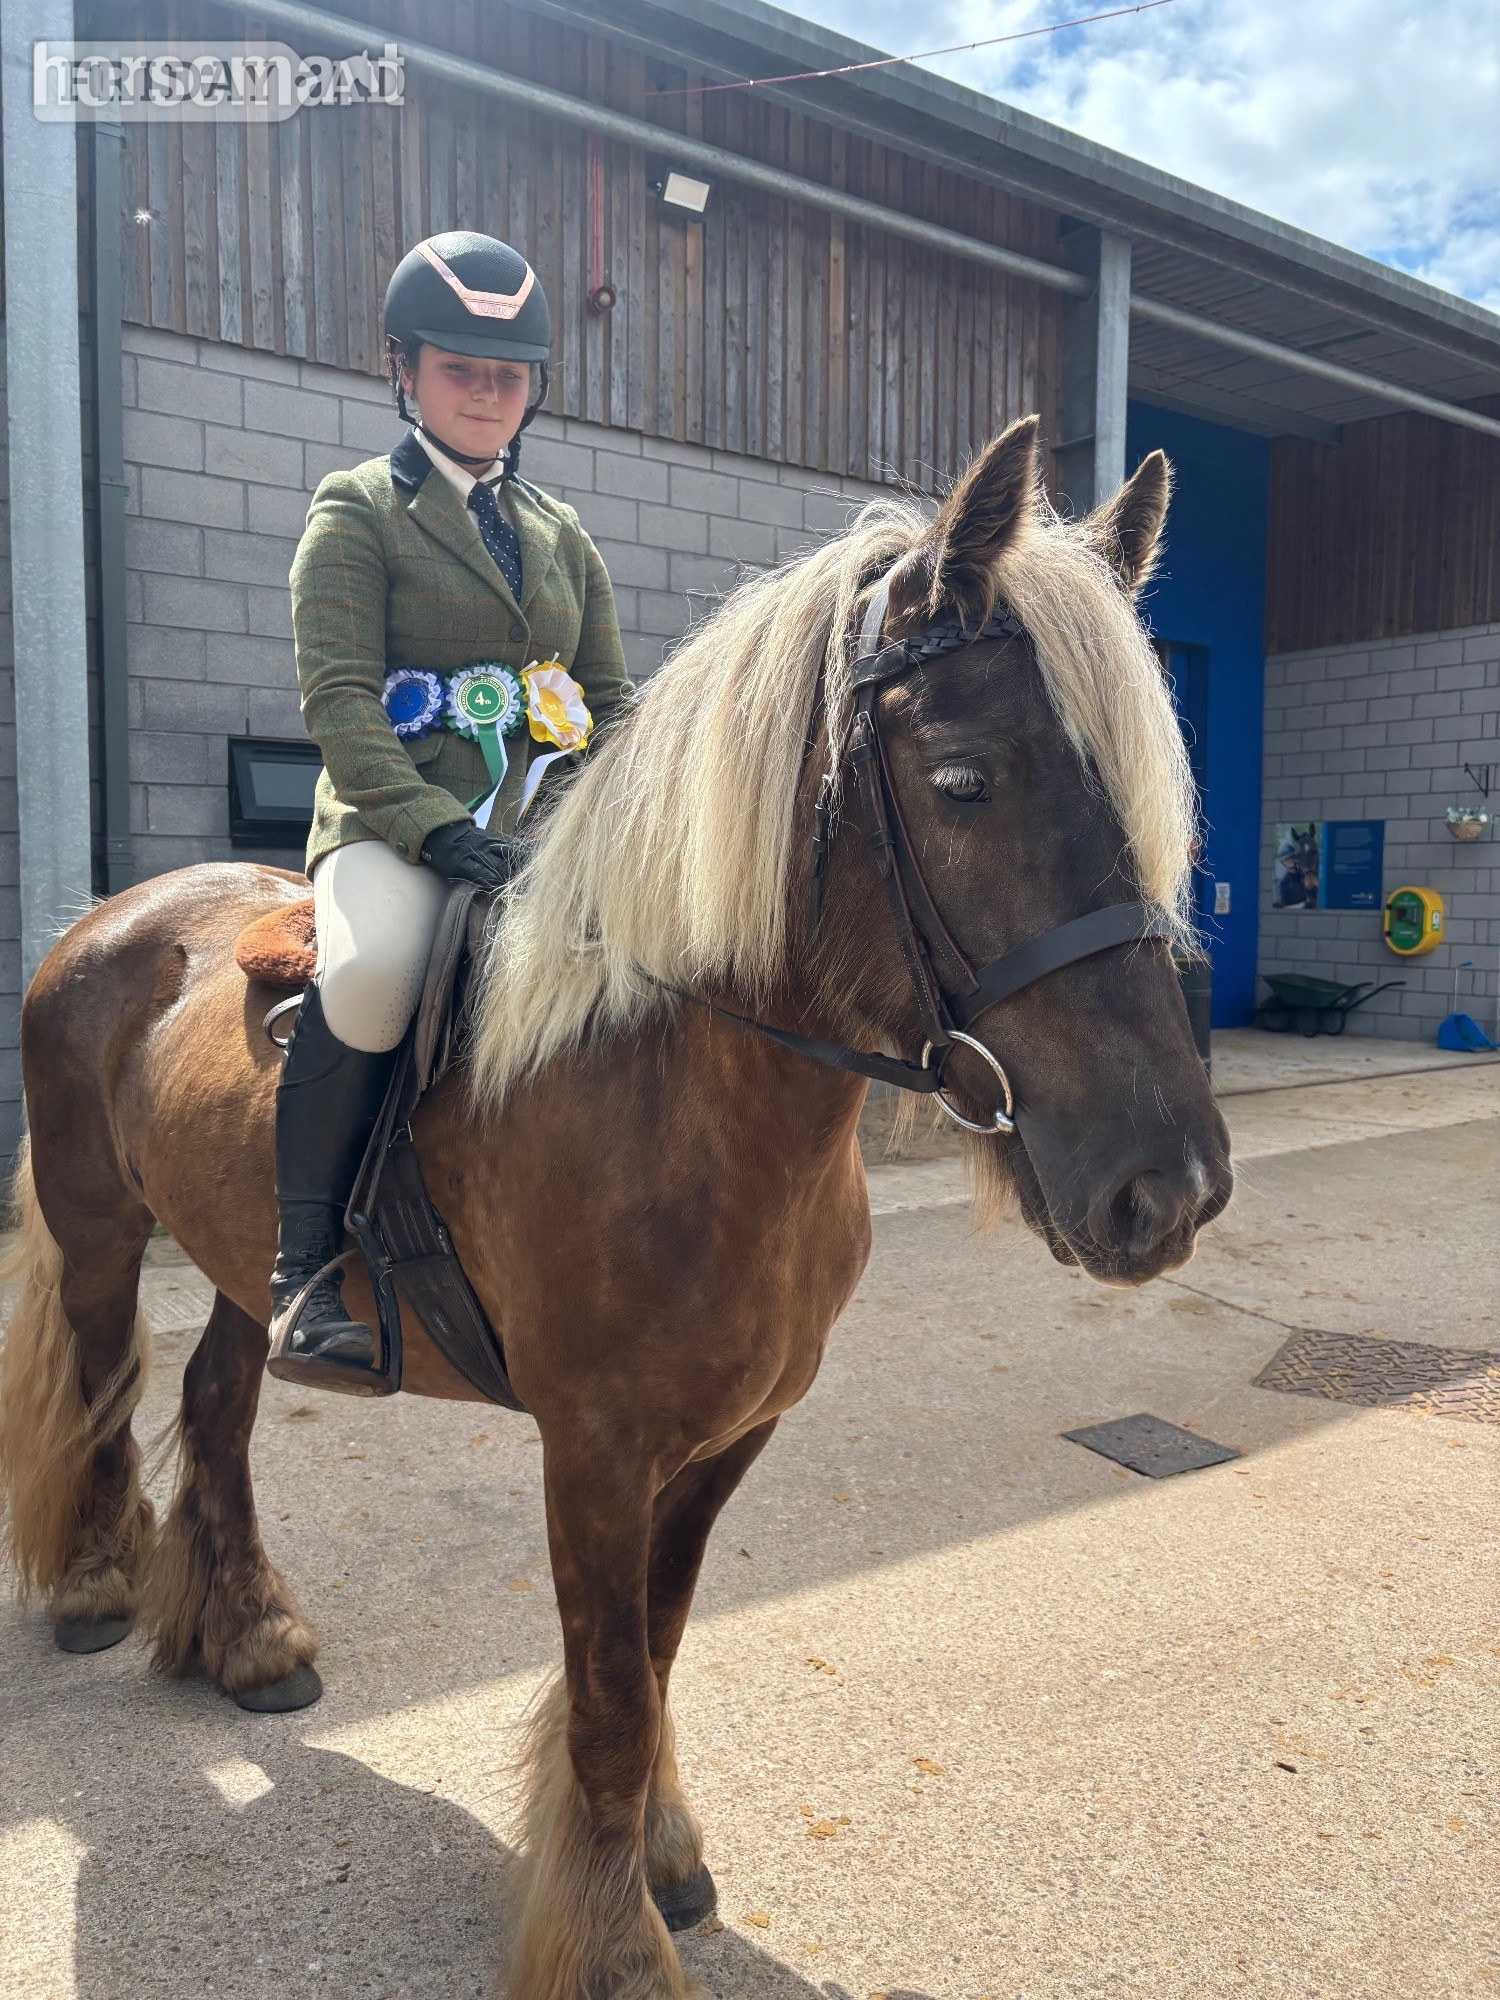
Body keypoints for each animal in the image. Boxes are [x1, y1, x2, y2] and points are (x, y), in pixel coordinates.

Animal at [0, 415, 1231, 1998]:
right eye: (964, 779)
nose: (1169, 1188)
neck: (685, 1098)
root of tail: (113, 918)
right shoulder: (590, 1449)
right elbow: (604, 1690)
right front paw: (614, 1944)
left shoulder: (723, 1439)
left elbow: (655, 1648)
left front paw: (658, 1856)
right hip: (100, 1226)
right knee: (101, 1380)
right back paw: (98, 1587)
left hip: (236, 1256)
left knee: (217, 1406)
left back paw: (254, 1636)